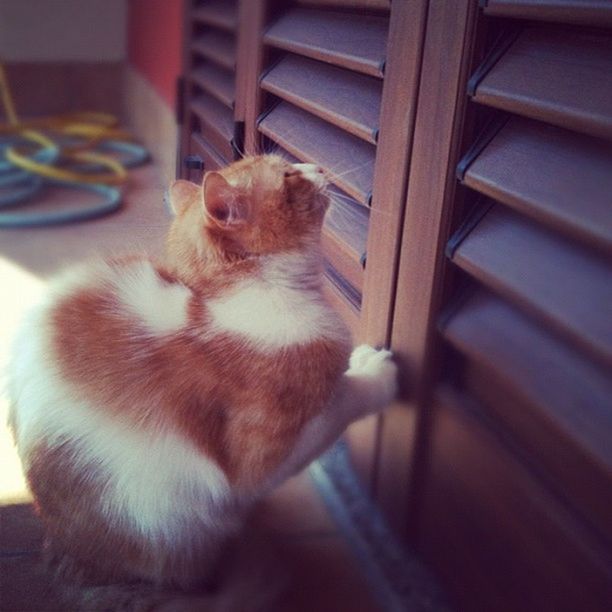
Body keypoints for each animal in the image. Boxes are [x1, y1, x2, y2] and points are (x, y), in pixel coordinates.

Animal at [7, 154, 396, 604]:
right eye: (287, 175)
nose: (314, 165)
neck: (239, 295)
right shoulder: (262, 456)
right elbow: (344, 401)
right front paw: (377, 373)